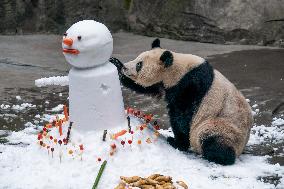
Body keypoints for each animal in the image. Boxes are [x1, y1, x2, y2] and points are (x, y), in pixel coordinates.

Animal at [110, 38, 253, 165]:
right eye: (137, 58)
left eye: (139, 65)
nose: (126, 68)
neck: (178, 68)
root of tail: (241, 147)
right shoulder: (164, 83)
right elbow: (147, 88)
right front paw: (116, 64)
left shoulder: (190, 85)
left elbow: (182, 115)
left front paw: (176, 142)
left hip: (222, 125)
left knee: (211, 139)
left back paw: (219, 157)